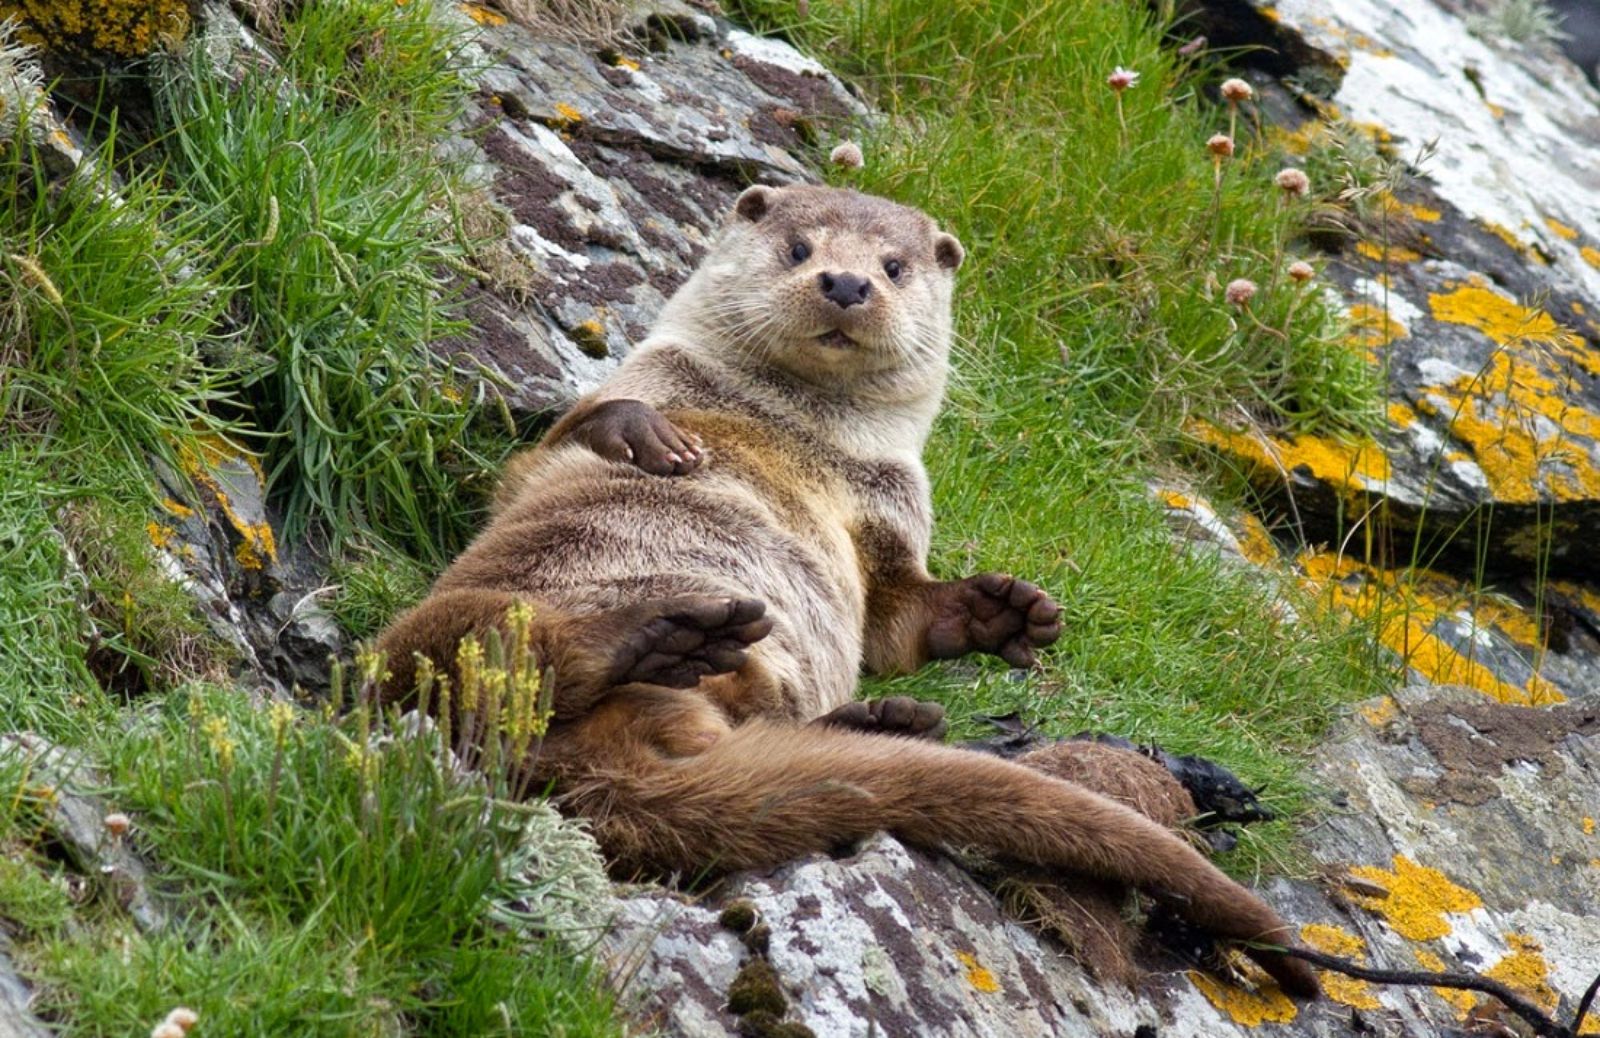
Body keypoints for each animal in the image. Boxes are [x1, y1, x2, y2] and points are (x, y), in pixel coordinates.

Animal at [377, 183, 1324, 998]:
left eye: (895, 266)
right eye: (800, 247)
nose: (844, 281)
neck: (798, 435)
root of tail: (586, 773)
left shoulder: (897, 514)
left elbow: (902, 624)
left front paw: (1004, 610)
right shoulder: (626, 388)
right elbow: (570, 428)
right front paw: (649, 438)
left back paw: (873, 717)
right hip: (449, 630)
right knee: (472, 665)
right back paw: (653, 631)